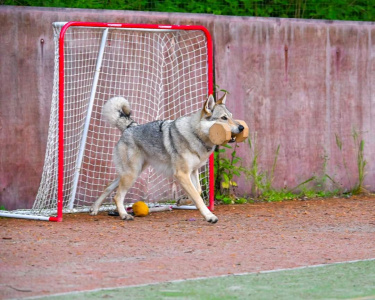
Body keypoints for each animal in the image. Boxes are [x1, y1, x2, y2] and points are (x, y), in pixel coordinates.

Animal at [89, 94, 245, 223]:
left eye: (231, 116)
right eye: (224, 118)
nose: (242, 127)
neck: (196, 135)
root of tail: (130, 126)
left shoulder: (193, 172)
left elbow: (198, 192)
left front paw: (183, 201)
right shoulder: (181, 174)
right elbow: (197, 197)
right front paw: (209, 216)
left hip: (132, 173)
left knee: (108, 187)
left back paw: (94, 209)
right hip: (131, 175)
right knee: (117, 196)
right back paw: (124, 215)